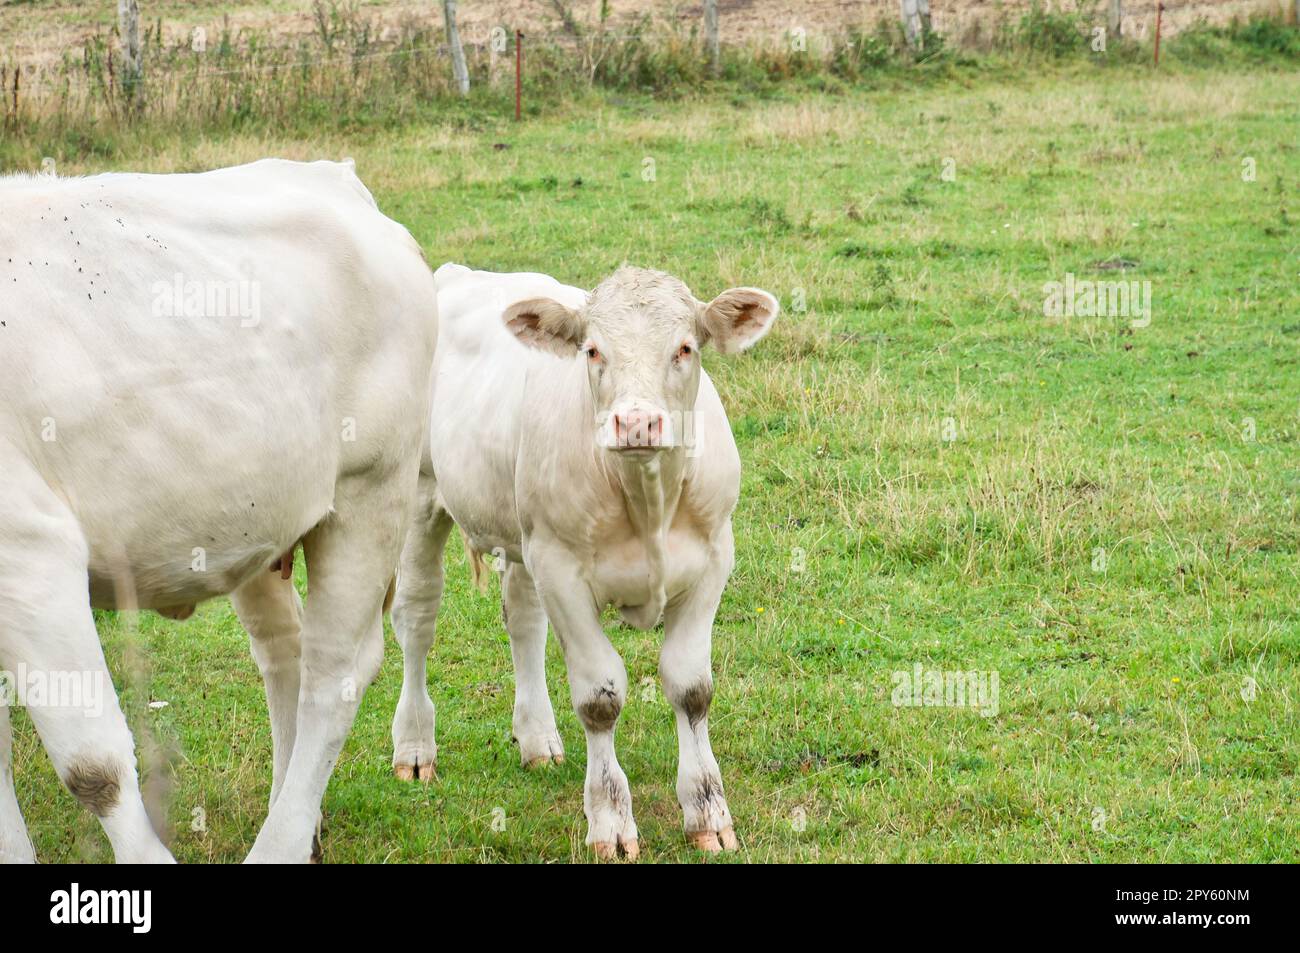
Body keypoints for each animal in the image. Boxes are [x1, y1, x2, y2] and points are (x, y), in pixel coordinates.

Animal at [0, 159, 436, 863]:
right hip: (260, 516)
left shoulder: (29, 550)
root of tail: (332, 175)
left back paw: (281, 843)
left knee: (334, 674)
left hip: (372, 489)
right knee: (286, 651)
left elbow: (93, 767)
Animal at [388, 263, 779, 859]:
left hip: (523, 535)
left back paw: (537, 739)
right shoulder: (561, 570)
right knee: (417, 617)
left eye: (685, 347)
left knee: (523, 619)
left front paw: (708, 811)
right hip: (421, 493)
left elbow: (691, 688)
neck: (647, 501)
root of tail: (458, 273)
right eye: (592, 350)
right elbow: (600, 698)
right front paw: (611, 823)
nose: (636, 424)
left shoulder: (714, 559)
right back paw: (414, 749)